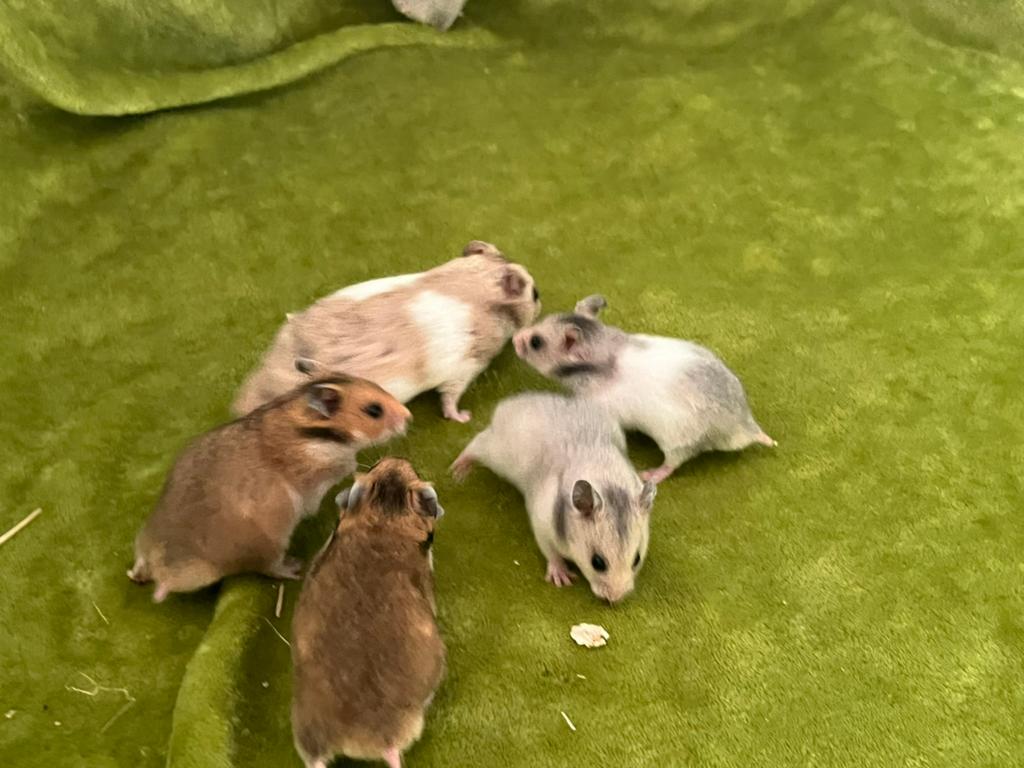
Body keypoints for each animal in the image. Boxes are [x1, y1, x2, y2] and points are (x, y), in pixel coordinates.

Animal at [127, 374, 411, 602]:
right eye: (374, 410)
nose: (409, 416)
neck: (308, 429)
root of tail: (163, 570)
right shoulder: (322, 471)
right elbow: (347, 467)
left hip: (145, 539)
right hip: (271, 541)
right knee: (268, 568)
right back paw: (294, 567)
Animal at [451, 393, 656, 603]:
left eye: (637, 559)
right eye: (597, 562)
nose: (616, 599)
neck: (606, 477)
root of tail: (510, 403)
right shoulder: (541, 524)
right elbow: (551, 552)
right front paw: (562, 578)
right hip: (498, 452)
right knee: (477, 442)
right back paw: (458, 471)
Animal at [512, 295, 775, 484]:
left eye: (536, 342)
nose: (514, 338)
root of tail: (746, 426)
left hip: (677, 441)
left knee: (672, 464)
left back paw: (649, 475)